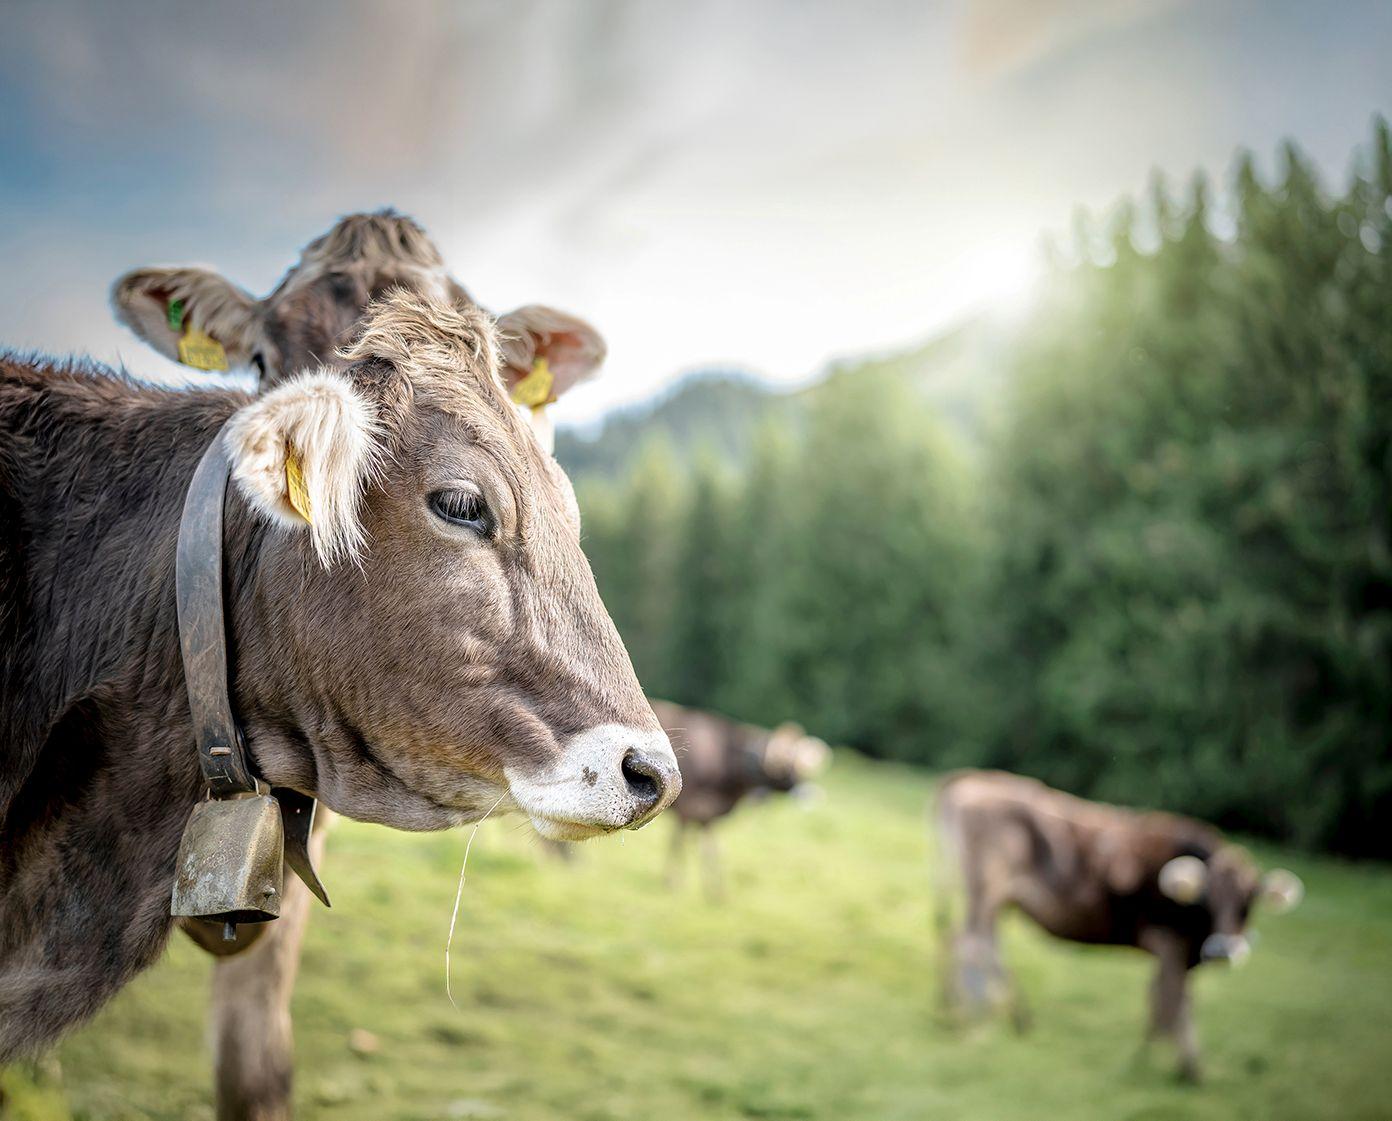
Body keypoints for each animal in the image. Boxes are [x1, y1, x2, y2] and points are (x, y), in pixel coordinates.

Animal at [653, 700, 829, 900]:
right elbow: (679, 843)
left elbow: (710, 849)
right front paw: (672, 882)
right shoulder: (688, 808)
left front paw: (716, 890)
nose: (810, 794)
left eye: (802, 770)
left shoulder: (706, 816)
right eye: (786, 769)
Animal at [934, 770, 1303, 1081]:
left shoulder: (1180, 952)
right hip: (986, 889)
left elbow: (1165, 997)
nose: (1223, 950)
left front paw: (1176, 1062)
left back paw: (995, 1014)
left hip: (995, 899)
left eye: (1249, 899)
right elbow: (1171, 1001)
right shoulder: (1169, 941)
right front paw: (1165, 1065)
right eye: (1207, 897)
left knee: (977, 942)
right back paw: (974, 1020)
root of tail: (969, 780)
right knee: (970, 944)